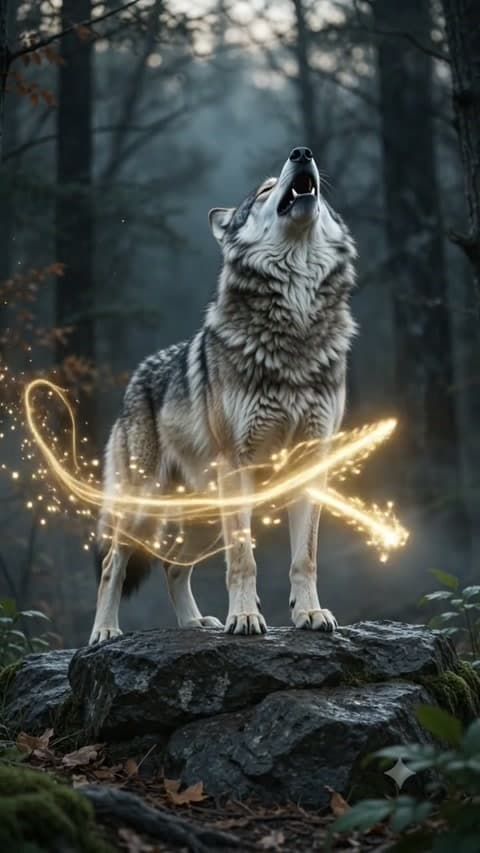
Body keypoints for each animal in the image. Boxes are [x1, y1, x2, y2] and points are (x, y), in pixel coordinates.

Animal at [89, 146, 357, 644]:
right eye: (265, 190)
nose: (302, 153)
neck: (295, 328)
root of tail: (135, 379)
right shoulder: (238, 464)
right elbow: (244, 560)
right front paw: (246, 619)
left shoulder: (311, 464)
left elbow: (304, 558)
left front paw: (310, 614)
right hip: (146, 507)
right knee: (114, 563)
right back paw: (105, 631)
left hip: (203, 518)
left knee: (173, 566)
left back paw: (195, 624)